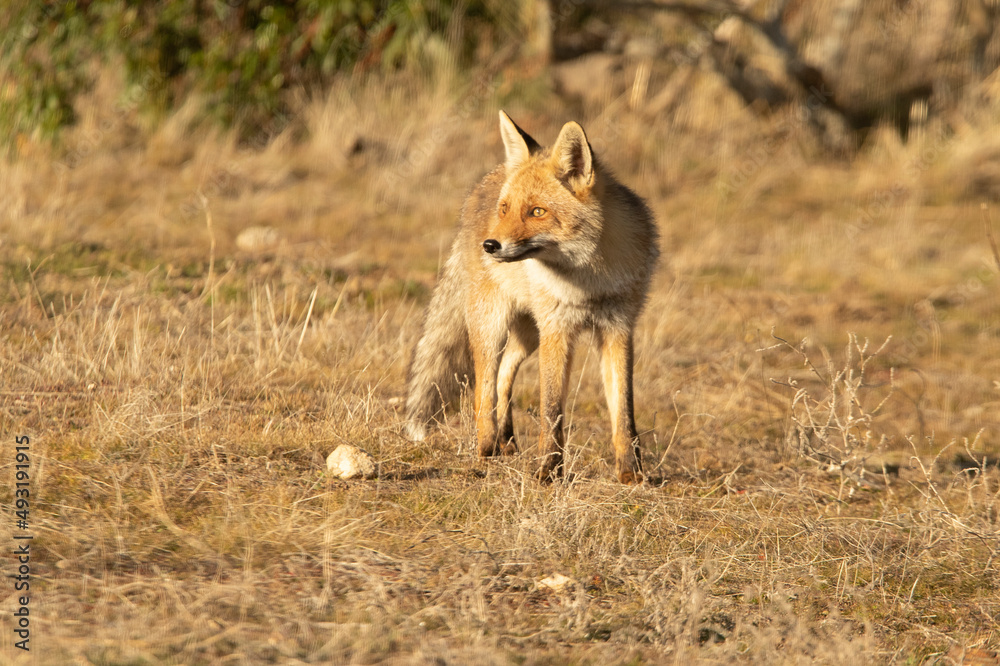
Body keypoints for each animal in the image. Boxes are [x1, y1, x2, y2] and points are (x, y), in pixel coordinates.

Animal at [402, 110, 660, 482]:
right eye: (506, 209)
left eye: (537, 211)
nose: (490, 245)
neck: (590, 279)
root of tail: (485, 182)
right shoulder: (557, 330)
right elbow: (551, 409)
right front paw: (548, 473)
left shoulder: (618, 328)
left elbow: (624, 412)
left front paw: (631, 474)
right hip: (493, 326)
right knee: (483, 389)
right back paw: (485, 449)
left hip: (528, 334)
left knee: (504, 375)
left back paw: (506, 440)